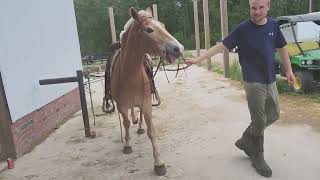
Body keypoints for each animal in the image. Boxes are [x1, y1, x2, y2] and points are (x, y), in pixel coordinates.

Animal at [107, 7, 184, 175]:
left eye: (163, 25)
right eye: (149, 29)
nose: (179, 49)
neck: (129, 75)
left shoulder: (147, 104)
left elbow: (151, 131)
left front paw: (159, 163)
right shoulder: (121, 106)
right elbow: (126, 123)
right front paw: (127, 145)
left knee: (140, 115)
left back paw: (140, 126)